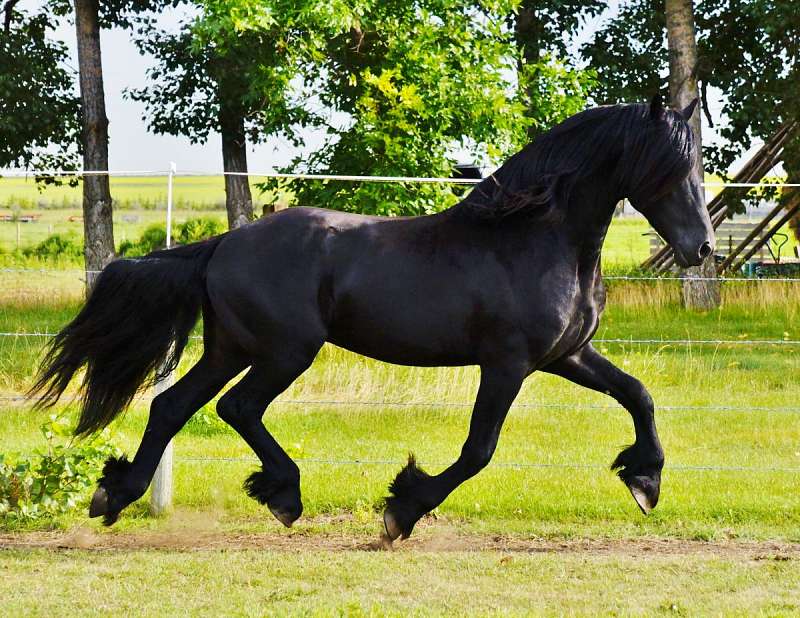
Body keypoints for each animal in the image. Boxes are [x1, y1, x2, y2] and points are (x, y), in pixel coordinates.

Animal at [31, 95, 712, 540]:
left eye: (699, 169)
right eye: (669, 169)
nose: (701, 248)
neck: (533, 236)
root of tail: (225, 244)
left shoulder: (566, 356)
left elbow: (638, 395)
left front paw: (645, 480)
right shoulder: (508, 363)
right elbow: (478, 450)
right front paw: (401, 510)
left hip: (232, 347)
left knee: (174, 406)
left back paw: (115, 494)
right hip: (285, 350)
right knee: (236, 407)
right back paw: (283, 494)